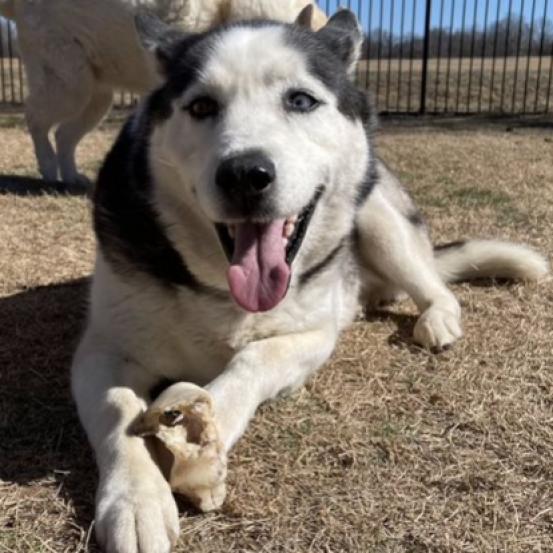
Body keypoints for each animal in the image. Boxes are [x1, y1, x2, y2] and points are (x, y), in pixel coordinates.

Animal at [0, 0, 324, 185]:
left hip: (96, 98)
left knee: (63, 134)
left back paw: (71, 178)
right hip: (68, 85)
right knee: (35, 120)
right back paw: (47, 167)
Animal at [70, 8, 548, 552]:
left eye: (300, 100)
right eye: (201, 106)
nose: (244, 175)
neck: (224, 290)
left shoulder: (313, 334)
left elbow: (254, 358)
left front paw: (207, 439)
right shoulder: (104, 351)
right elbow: (117, 409)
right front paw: (134, 501)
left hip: (379, 217)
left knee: (434, 286)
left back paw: (437, 321)